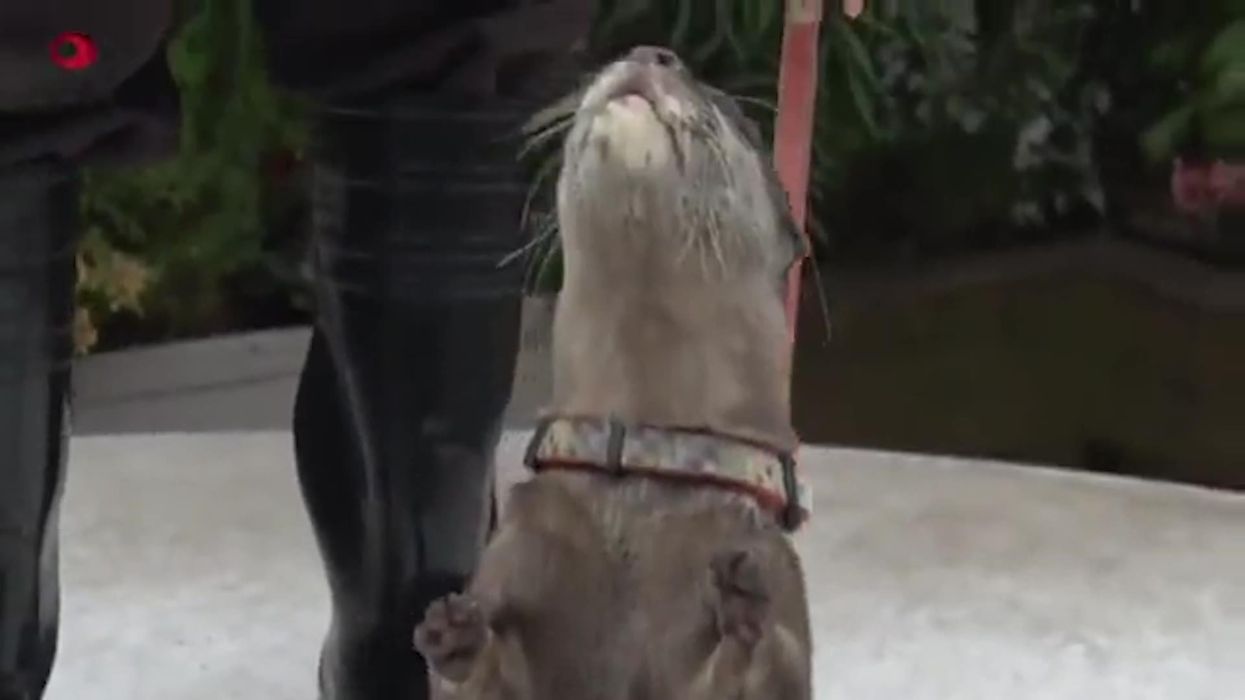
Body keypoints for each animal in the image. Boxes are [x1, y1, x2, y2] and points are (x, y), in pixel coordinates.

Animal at [413, 46, 813, 700]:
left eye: (728, 109)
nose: (652, 51)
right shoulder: (514, 554)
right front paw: (458, 638)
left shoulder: (775, 574)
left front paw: (743, 620)